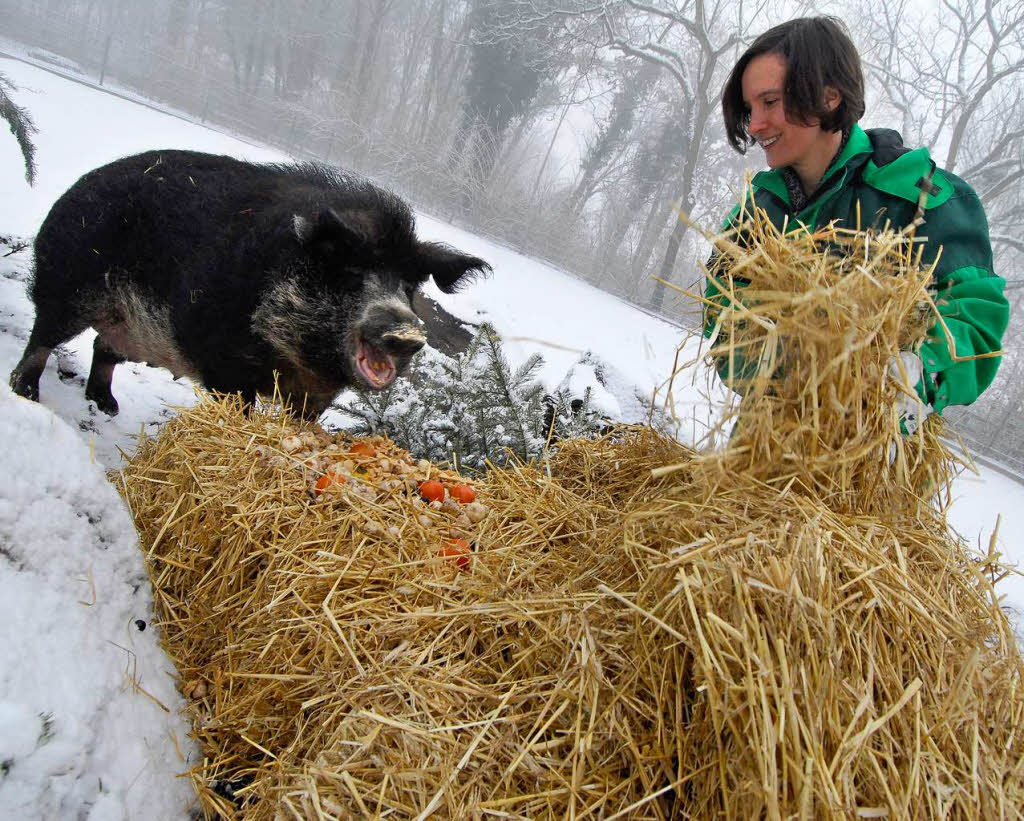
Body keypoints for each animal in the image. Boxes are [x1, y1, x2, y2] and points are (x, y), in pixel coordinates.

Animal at [8, 149, 487, 415]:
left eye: (409, 287)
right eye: (352, 274)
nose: (406, 332)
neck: (294, 356)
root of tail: (77, 186)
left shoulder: (316, 394)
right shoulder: (225, 360)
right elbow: (240, 409)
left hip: (129, 325)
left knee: (101, 347)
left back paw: (106, 407)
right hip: (70, 284)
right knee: (44, 336)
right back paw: (26, 393)